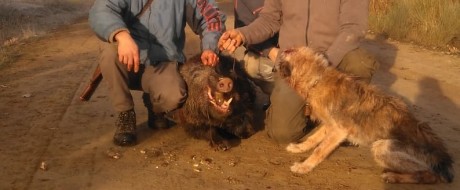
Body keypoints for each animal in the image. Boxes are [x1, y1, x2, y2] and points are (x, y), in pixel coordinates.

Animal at [276, 46, 452, 183]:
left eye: (290, 51)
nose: (279, 50)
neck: (317, 80)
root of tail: (443, 155)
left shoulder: (339, 130)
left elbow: (319, 150)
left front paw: (304, 166)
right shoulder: (330, 125)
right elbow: (312, 139)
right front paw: (299, 148)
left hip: (381, 147)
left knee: (430, 176)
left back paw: (394, 177)